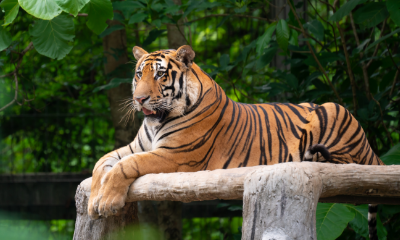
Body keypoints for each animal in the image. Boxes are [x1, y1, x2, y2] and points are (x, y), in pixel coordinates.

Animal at [88, 45, 384, 240]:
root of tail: (369, 146)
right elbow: (101, 164)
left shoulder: (176, 155)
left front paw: (107, 201)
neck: (157, 121)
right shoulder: (134, 147)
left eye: (160, 75)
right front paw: (93, 202)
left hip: (334, 110)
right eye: (139, 74)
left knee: (347, 163)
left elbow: (127, 165)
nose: (139, 99)